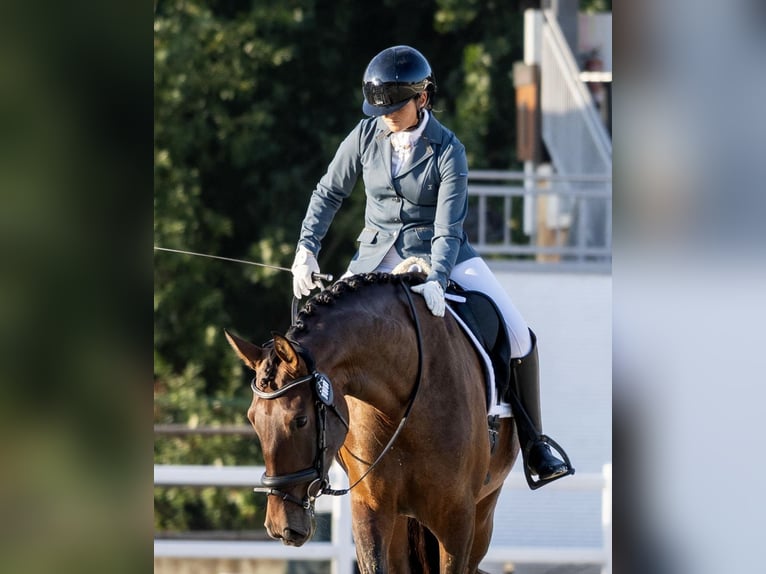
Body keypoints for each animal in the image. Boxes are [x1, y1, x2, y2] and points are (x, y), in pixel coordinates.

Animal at [225, 271, 519, 573]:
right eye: (252, 420)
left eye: (301, 420)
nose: (279, 526)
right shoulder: (371, 509)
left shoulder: (457, 520)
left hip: (482, 515)